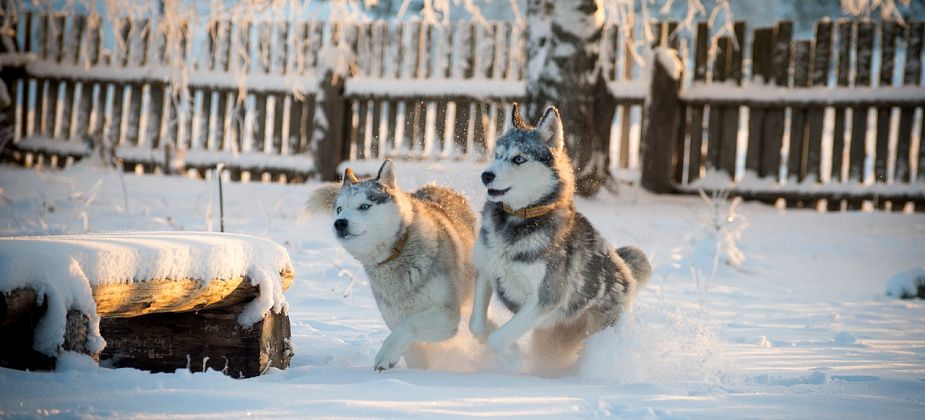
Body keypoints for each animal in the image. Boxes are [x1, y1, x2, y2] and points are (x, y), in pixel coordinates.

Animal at [310, 161, 476, 370]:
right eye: (339, 209)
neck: (397, 253)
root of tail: (438, 186)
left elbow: (409, 325)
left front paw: (386, 354)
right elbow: (413, 352)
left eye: (364, 206)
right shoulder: (395, 318)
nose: (339, 223)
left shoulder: (448, 316)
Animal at [470, 105, 648, 374]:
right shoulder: (486, 272)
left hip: (599, 326)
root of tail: (624, 268)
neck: (518, 221)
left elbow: (498, 339)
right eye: (497, 155)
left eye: (519, 159)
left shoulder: (546, 298)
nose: (486, 175)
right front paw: (495, 332)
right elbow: (477, 326)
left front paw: (513, 358)